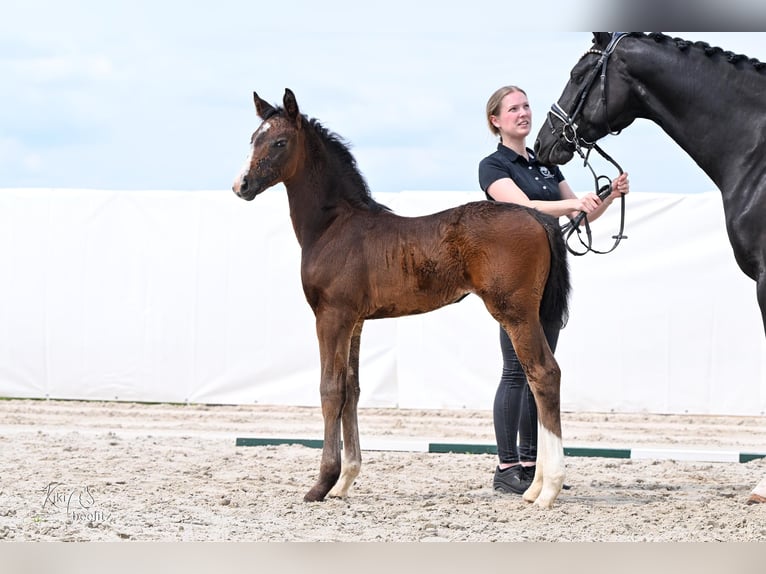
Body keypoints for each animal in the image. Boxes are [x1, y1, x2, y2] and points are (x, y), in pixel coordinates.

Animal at [232, 88, 571, 508]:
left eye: (279, 142)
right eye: (253, 139)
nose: (241, 185)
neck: (334, 226)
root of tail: (536, 217)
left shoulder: (331, 316)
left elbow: (330, 389)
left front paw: (321, 484)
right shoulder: (355, 321)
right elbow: (352, 389)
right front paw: (345, 481)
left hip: (515, 312)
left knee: (544, 374)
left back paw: (549, 489)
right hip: (532, 315)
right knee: (533, 380)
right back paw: (535, 487)